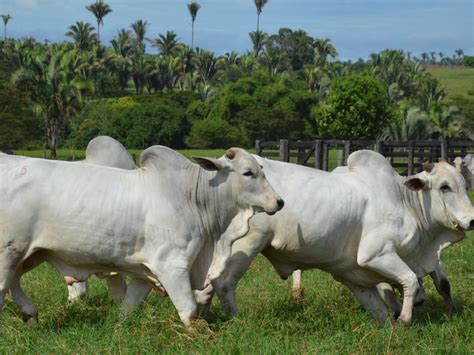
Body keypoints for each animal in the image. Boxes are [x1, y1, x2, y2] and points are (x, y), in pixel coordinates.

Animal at [0, 145, 282, 326]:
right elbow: (189, 311)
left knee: (14, 282)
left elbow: (128, 307)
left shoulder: (144, 273)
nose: (279, 202)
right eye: (248, 173)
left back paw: (30, 314)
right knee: (5, 284)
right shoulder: (172, 265)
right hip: (9, 251)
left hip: (29, 253)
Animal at [195, 150, 474, 326]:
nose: (471, 220)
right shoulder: (376, 254)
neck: (405, 201)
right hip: (247, 244)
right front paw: (405, 318)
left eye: (464, 184)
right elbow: (410, 280)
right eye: (444, 187)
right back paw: (235, 319)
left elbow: (383, 308)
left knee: (207, 287)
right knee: (224, 284)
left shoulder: (353, 273)